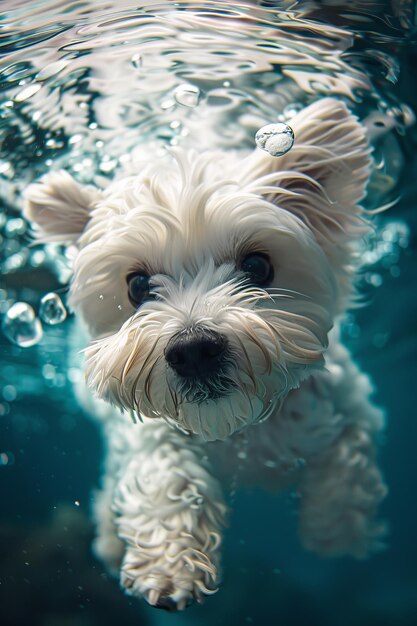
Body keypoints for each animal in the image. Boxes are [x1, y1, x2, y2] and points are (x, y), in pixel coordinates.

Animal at [23, 97, 386, 608]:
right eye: (138, 286)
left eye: (258, 265)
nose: (194, 350)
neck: (242, 431)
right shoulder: (149, 432)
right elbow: (166, 472)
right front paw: (169, 566)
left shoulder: (352, 401)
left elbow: (349, 459)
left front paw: (336, 531)